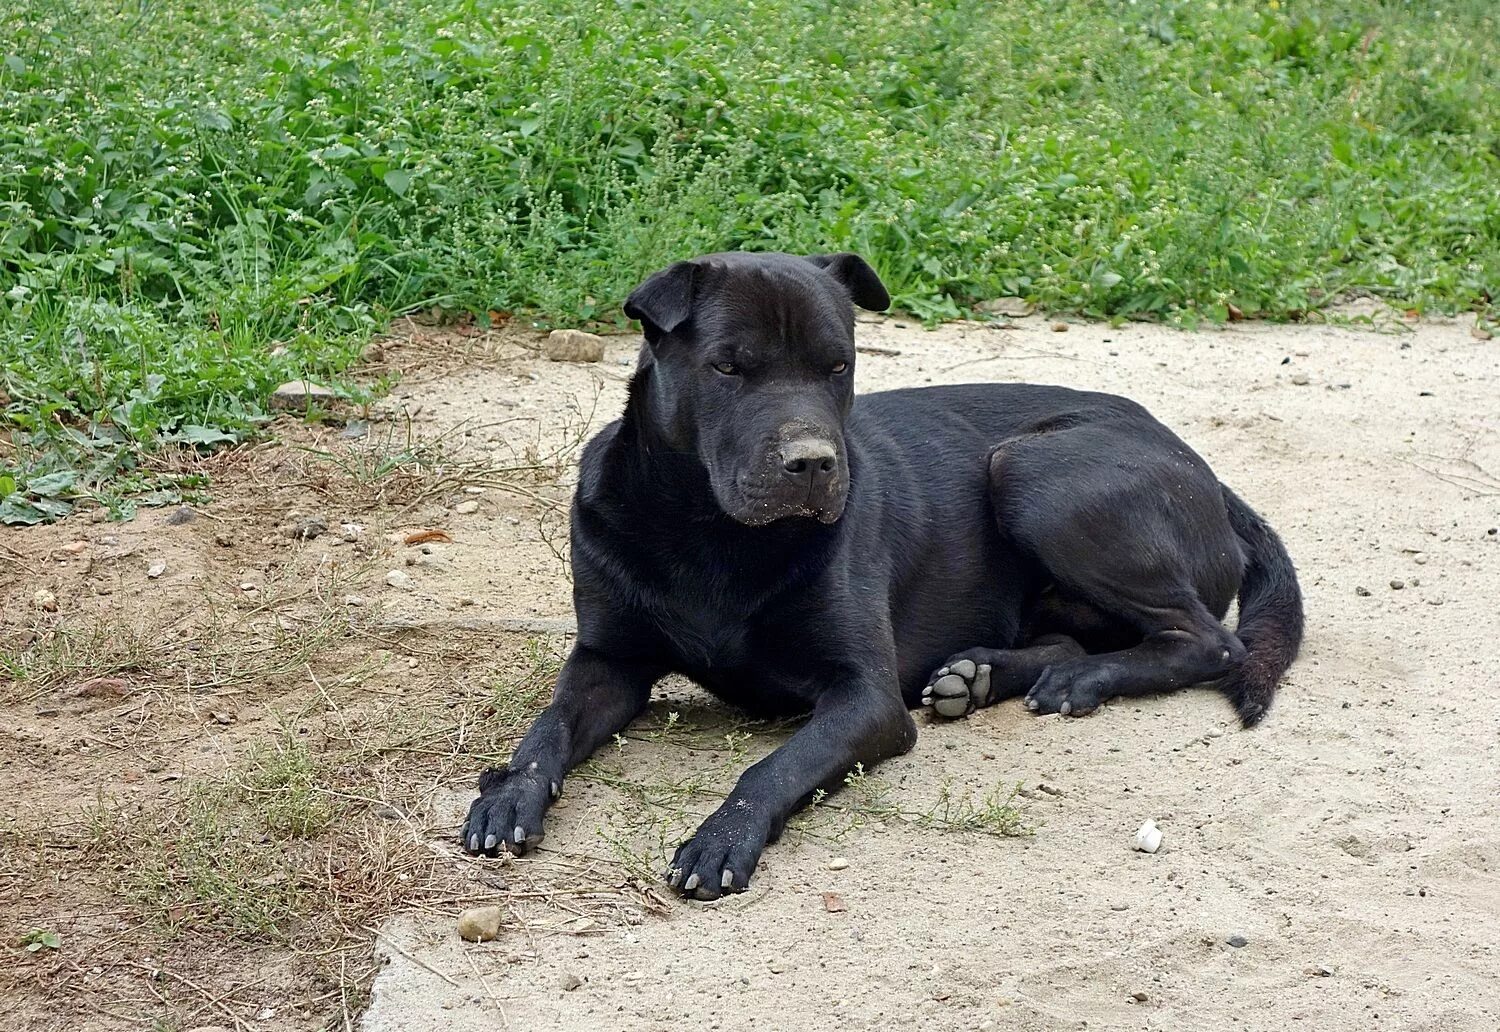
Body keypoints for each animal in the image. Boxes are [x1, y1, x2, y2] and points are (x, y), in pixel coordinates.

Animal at [462, 250, 1308, 894]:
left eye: (839, 365)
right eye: (728, 367)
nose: (813, 463)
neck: (710, 534)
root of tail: (1207, 472)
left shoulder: (865, 696)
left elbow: (776, 766)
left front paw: (722, 836)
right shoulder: (609, 658)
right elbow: (547, 727)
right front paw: (508, 795)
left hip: (1031, 469)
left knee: (1210, 640)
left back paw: (1078, 680)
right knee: (1077, 637)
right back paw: (982, 676)